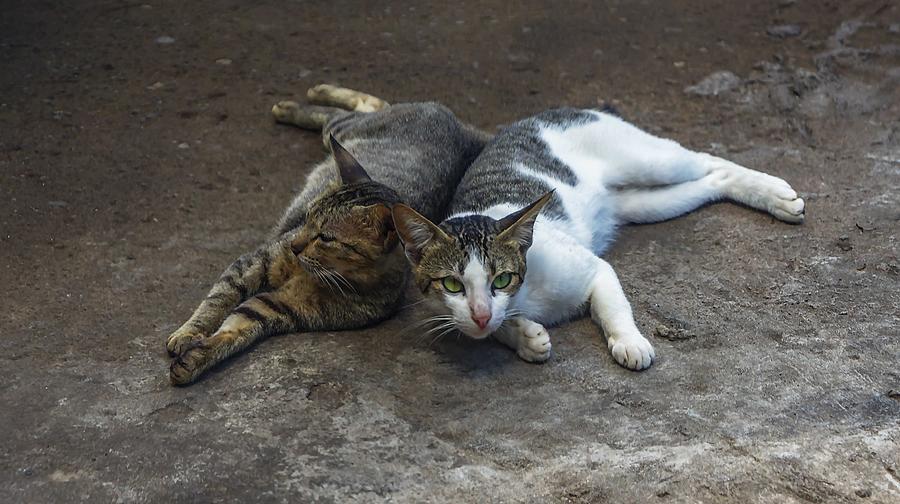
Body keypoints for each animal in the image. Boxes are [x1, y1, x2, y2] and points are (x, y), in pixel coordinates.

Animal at [169, 87, 492, 386]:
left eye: (325, 237)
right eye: (308, 217)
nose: (295, 246)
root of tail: (456, 123)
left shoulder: (280, 307)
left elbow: (236, 327)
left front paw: (196, 358)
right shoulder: (253, 262)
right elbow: (217, 300)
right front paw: (188, 333)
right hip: (341, 130)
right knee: (357, 109)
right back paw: (299, 101)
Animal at [392, 107, 800, 370]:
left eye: (502, 279)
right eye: (452, 285)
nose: (481, 314)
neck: (526, 295)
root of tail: (565, 109)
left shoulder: (594, 268)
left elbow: (613, 307)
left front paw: (629, 342)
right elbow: (489, 329)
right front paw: (524, 336)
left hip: (649, 162)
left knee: (706, 159)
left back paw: (777, 192)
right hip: (648, 203)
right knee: (711, 181)